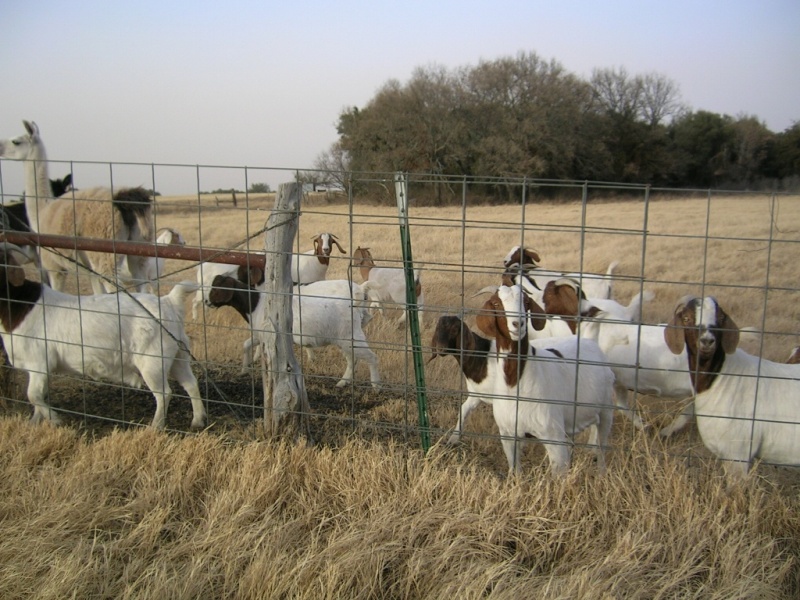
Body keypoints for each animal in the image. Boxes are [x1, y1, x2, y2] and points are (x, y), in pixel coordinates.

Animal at [0, 121, 154, 294]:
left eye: (16, 141)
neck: (40, 212)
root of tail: (122, 200)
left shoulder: (53, 266)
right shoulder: (89, 271)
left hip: (105, 252)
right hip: (139, 250)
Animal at [0, 243, 206, 430]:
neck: (20, 306)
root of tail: (169, 301)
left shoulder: (39, 362)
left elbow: (33, 395)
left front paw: (56, 420)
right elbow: (40, 394)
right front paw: (34, 422)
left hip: (152, 360)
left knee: (164, 393)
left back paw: (155, 427)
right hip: (179, 354)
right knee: (191, 383)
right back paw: (197, 421)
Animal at [207, 276, 382, 389]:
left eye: (216, 289)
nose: (207, 302)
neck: (256, 304)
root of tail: (360, 290)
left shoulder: (267, 333)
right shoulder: (259, 334)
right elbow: (246, 344)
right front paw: (244, 369)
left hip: (349, 336)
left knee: (372, 357)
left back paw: (376, 385)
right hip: (345, 338)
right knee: (352, 360)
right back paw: (342, 383)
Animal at [474, 284, 615, 477]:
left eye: (526, 302)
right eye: (496, 303)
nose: (518, 324)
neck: (515, 383)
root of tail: (589, 341)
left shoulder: (552, 435)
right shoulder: (508, 434)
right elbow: (515, 470)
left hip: (606, 410)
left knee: (601, 447)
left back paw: (601, 474)